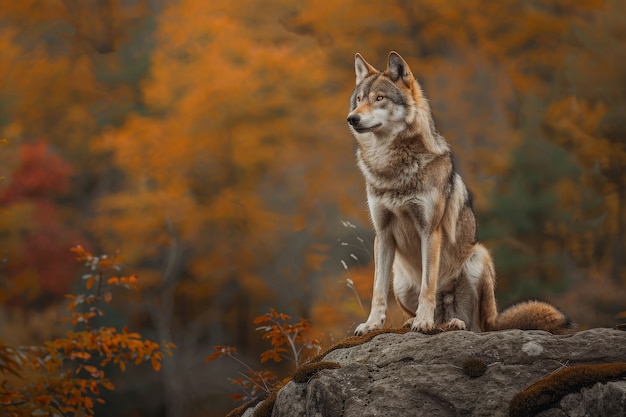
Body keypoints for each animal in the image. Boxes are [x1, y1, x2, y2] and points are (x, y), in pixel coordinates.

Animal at [346, 51, 572, 334]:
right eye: (358, 100)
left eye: (379, 98)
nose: (352, 118)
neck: (391, 166)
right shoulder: (383, 234)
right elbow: (377, 290)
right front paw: (371, 324)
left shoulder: (430, 231)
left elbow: (428, 285)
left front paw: (423, 322)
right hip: (400, 280)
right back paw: (420, 321)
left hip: (479, 258)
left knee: (474, 325)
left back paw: (451, 322)